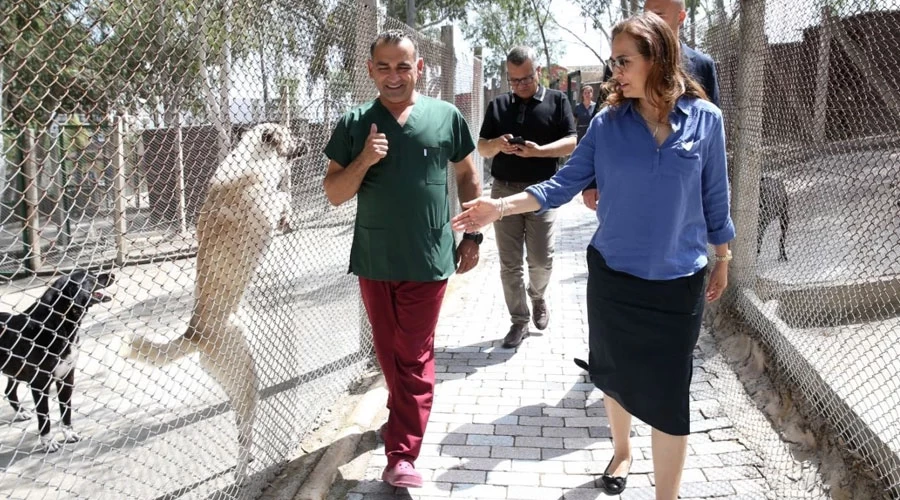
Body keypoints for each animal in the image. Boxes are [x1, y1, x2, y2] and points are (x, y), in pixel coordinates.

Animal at [0, 272, 114, 452]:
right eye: (89, 278)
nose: (112, 274)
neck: (57, 324)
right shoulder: (39, 384)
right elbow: (44, 416)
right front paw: (48, 442)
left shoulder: (67, 377)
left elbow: (66, 410)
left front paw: (69, 434)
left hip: (14, 371)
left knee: (9, 391)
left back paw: (21, 412)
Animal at [125, 124, 310, 480]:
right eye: (290, 135)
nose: (306, 140)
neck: (253, 161)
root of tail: (194, 332)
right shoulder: (266, 205)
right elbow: (283, 196)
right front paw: (289, 215)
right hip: (245, 376)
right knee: (245, 429)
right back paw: (242, 471)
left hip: (237, 383)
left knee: (239, 424)